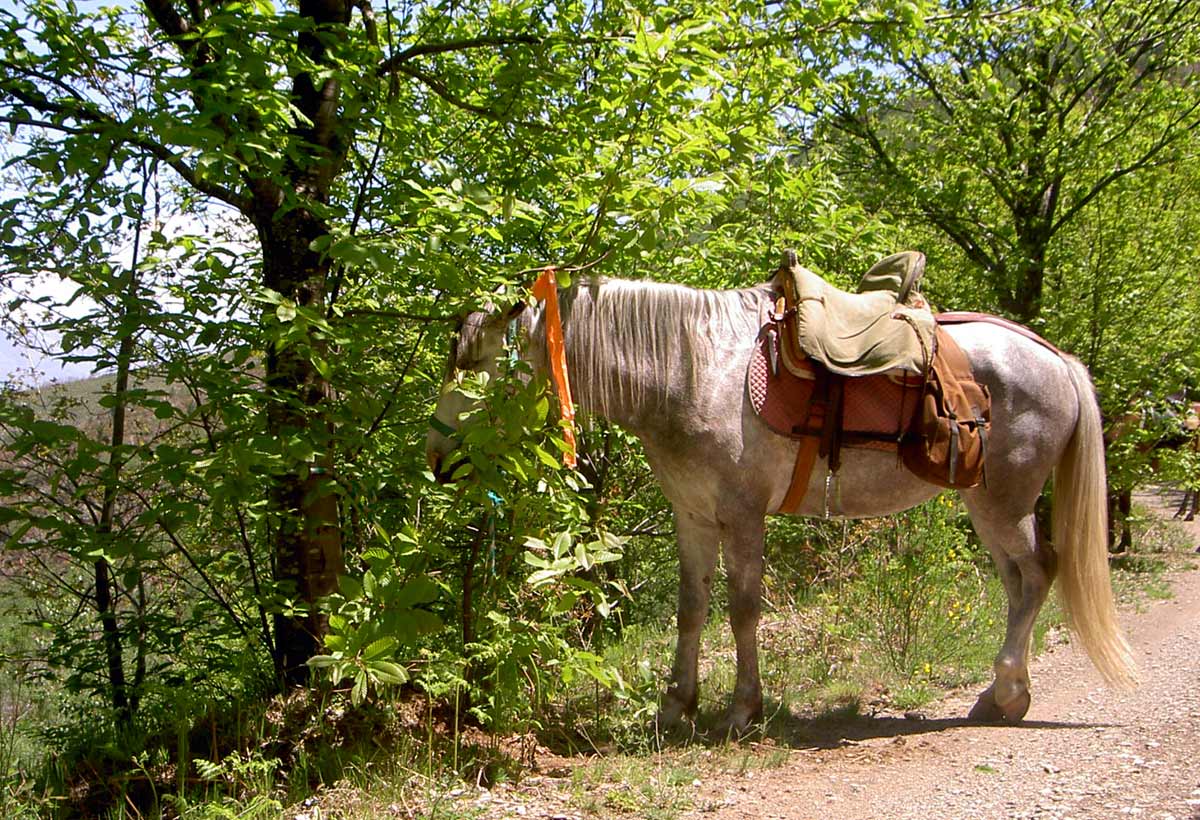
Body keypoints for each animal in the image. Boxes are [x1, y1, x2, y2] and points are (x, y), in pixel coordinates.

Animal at [427, 272, 1137, 734]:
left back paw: (1007, 695)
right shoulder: (693, 516)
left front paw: (744, 709)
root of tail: (1056, 358)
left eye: (480, 366)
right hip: (987, 507)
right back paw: (999, 693)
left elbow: (742, 610)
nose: (439, 460)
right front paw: (677, 705)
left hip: (1003, 504)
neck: (690, 371)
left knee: (1038, 572)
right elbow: (691, 609)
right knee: (1020, 582)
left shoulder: (742, 515)